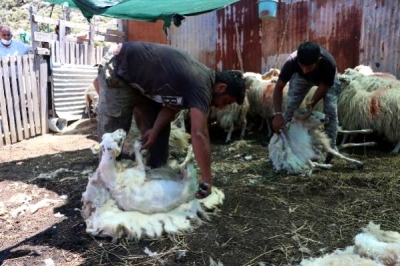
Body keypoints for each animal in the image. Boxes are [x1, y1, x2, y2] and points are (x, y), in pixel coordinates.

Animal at [81, 129, 225, 241]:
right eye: (119, 140)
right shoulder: (139, 171)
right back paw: (190, 152)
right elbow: (139, 157)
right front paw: (138, 144)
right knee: (188, 164)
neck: (112, 177)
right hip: (190, 176)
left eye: (110, 134)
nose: (122, 130)